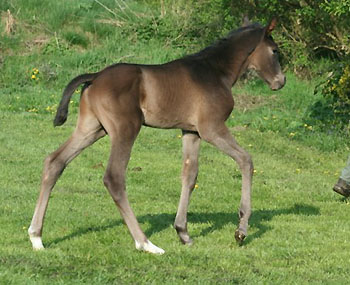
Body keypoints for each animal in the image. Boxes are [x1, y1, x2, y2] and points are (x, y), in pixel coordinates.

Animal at [28, 18, 286, 253]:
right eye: (275, 51)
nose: (280, 82)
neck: (215, 72)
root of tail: (95, 76)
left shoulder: (191, 131)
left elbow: (189, 175)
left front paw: (183, 232)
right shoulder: (211, 128)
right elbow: (246, 160)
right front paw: (241, 230)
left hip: (91, 129)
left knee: (55, 161)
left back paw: (36, 237)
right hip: (126, 129)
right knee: (114, 177)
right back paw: (145, 243)